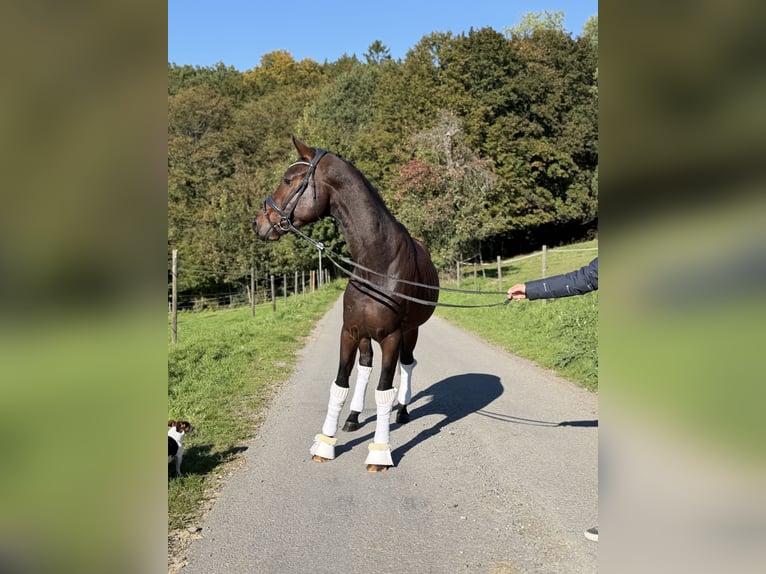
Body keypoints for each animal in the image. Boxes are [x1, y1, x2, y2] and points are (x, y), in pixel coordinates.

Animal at [254, 136, 439, 472]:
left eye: (288, 180)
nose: (259, 222)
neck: (376, 263)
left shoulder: (391, 336)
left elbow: (384, 390)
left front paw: (379, 453)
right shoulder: (349, 332)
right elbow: (340, 384)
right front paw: (325, 444)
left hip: (410, 332)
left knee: (407, 365)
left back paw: (403, 410)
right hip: (366, 336)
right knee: (365, 367)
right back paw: (353, 417)